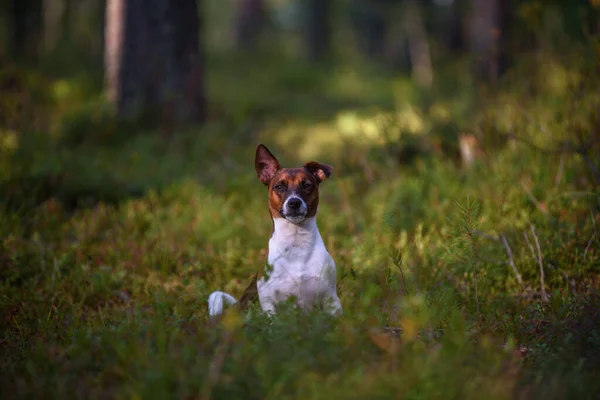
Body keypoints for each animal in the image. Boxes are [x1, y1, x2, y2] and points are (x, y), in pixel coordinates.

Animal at [209, 144, 342, 316]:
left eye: (307, 185)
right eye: (279, 187)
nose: (294, 202)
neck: (296, 242)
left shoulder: (331, 301)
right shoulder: (269, 304)